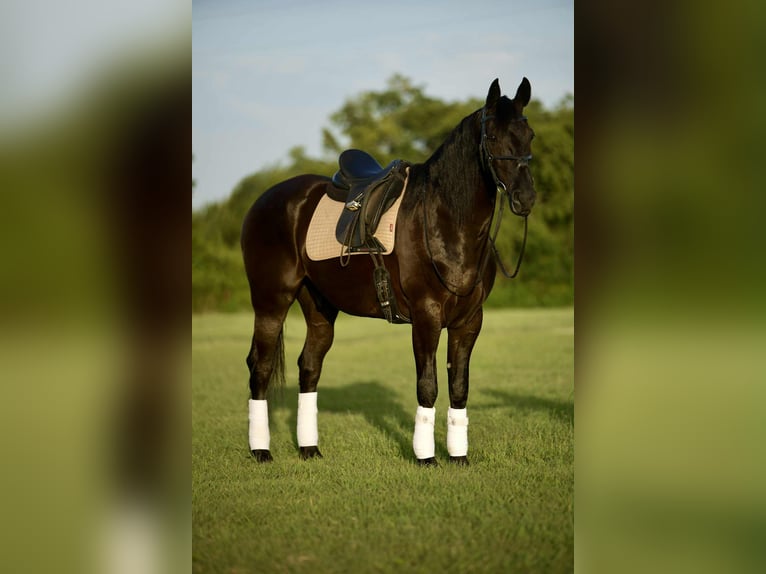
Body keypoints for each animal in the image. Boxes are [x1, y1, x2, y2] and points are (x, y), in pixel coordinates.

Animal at [241, 78, 536, 466]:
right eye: (492, 137)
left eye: (529, 134)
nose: (525, 198)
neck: (444, 221)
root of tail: (263, 200)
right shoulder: (426, 317)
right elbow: (428, 386)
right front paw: (426, 458)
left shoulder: (469, 321)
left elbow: (459, 387)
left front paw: (459, 457)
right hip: (271, 300)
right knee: (259, 366)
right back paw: (261, 451)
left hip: (319, 306)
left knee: (309, 366)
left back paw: (309, 449)